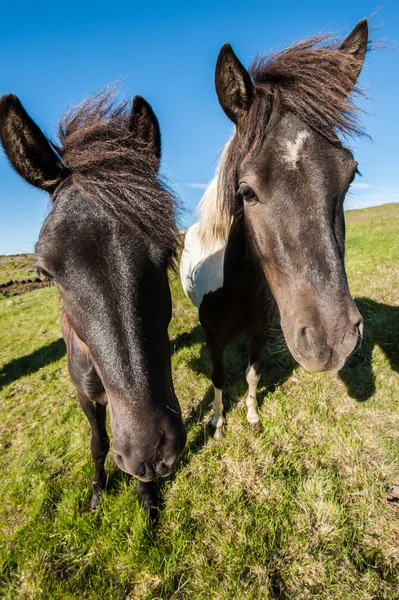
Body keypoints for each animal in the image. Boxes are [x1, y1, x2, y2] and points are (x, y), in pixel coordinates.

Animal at [0, 89, 188, 510]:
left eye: (168, 249)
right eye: (45, 273)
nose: (152, 451)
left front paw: (146, 496)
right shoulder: (85, 398)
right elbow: (98, 443)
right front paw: (98, 493)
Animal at [181, 21, 368, 438]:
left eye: (350, 175)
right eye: (246, 191)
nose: (331, 340)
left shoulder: (262, 335)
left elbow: (252, 376)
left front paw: (252, 416)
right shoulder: (214, 340)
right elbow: (219, 379)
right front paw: (217, 423)